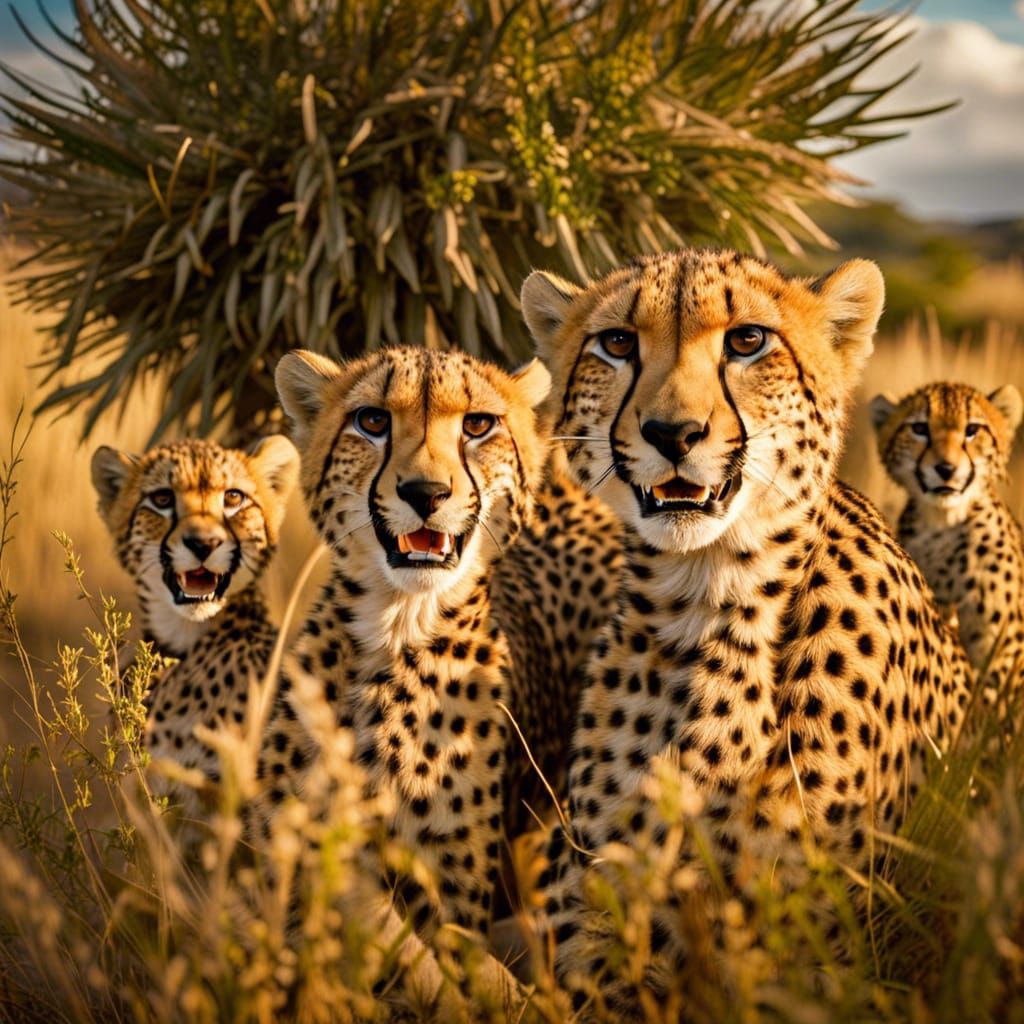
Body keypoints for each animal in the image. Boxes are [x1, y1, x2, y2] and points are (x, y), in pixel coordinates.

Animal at [518, 247, 975, 1011]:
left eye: (747, 341)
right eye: (617, 343)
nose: (672, 434)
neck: (701, 596)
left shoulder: (820, 947)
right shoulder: (600, 923)